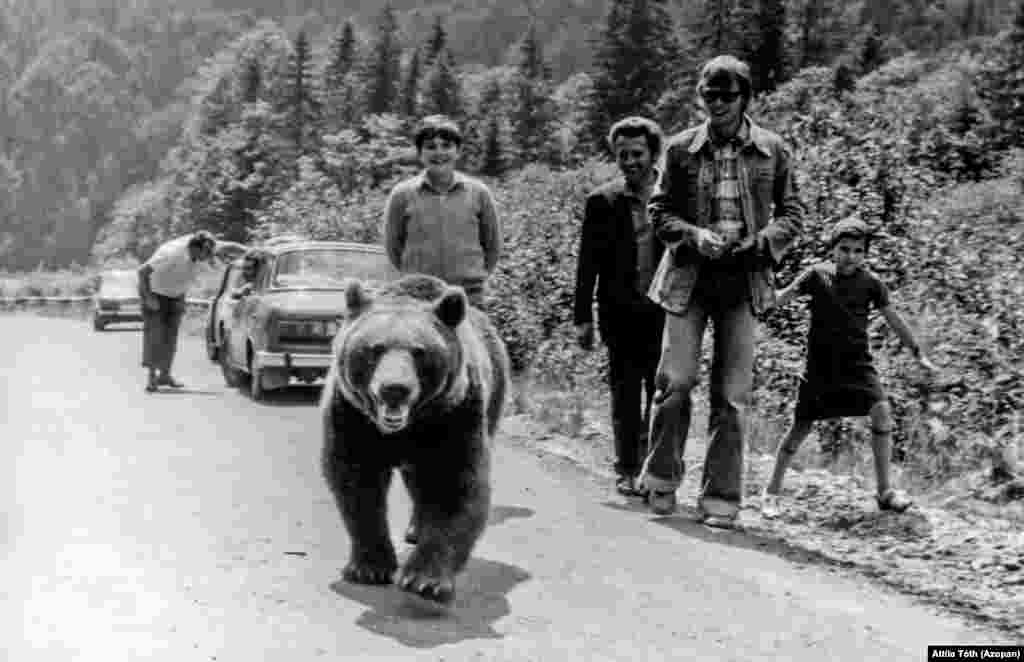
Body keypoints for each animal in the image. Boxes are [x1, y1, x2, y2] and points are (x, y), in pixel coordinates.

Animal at [319, 274, 507, 606]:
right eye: (375, 348)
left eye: (419, 351)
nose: (394, 388)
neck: (404, 429)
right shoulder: (352, 417)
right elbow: (356, 482)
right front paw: (370, 567)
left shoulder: (455, 416)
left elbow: (456, 486)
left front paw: (424, 580)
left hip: (493, 396)